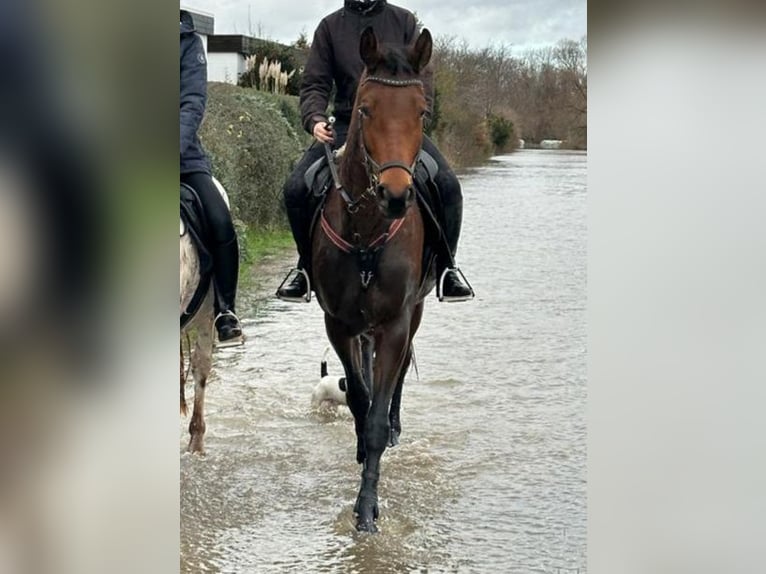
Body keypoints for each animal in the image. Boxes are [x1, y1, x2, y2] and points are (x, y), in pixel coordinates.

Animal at [308, 25, 436, 532]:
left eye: (421, 111)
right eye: (364, 108)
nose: (396, 196)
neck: (367, 231)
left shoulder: (396, 324)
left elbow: (379, 414)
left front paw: (367, 508)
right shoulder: (340, 325)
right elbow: (360, 404)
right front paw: (362, 455)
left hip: (413, 314)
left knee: (397, 378)